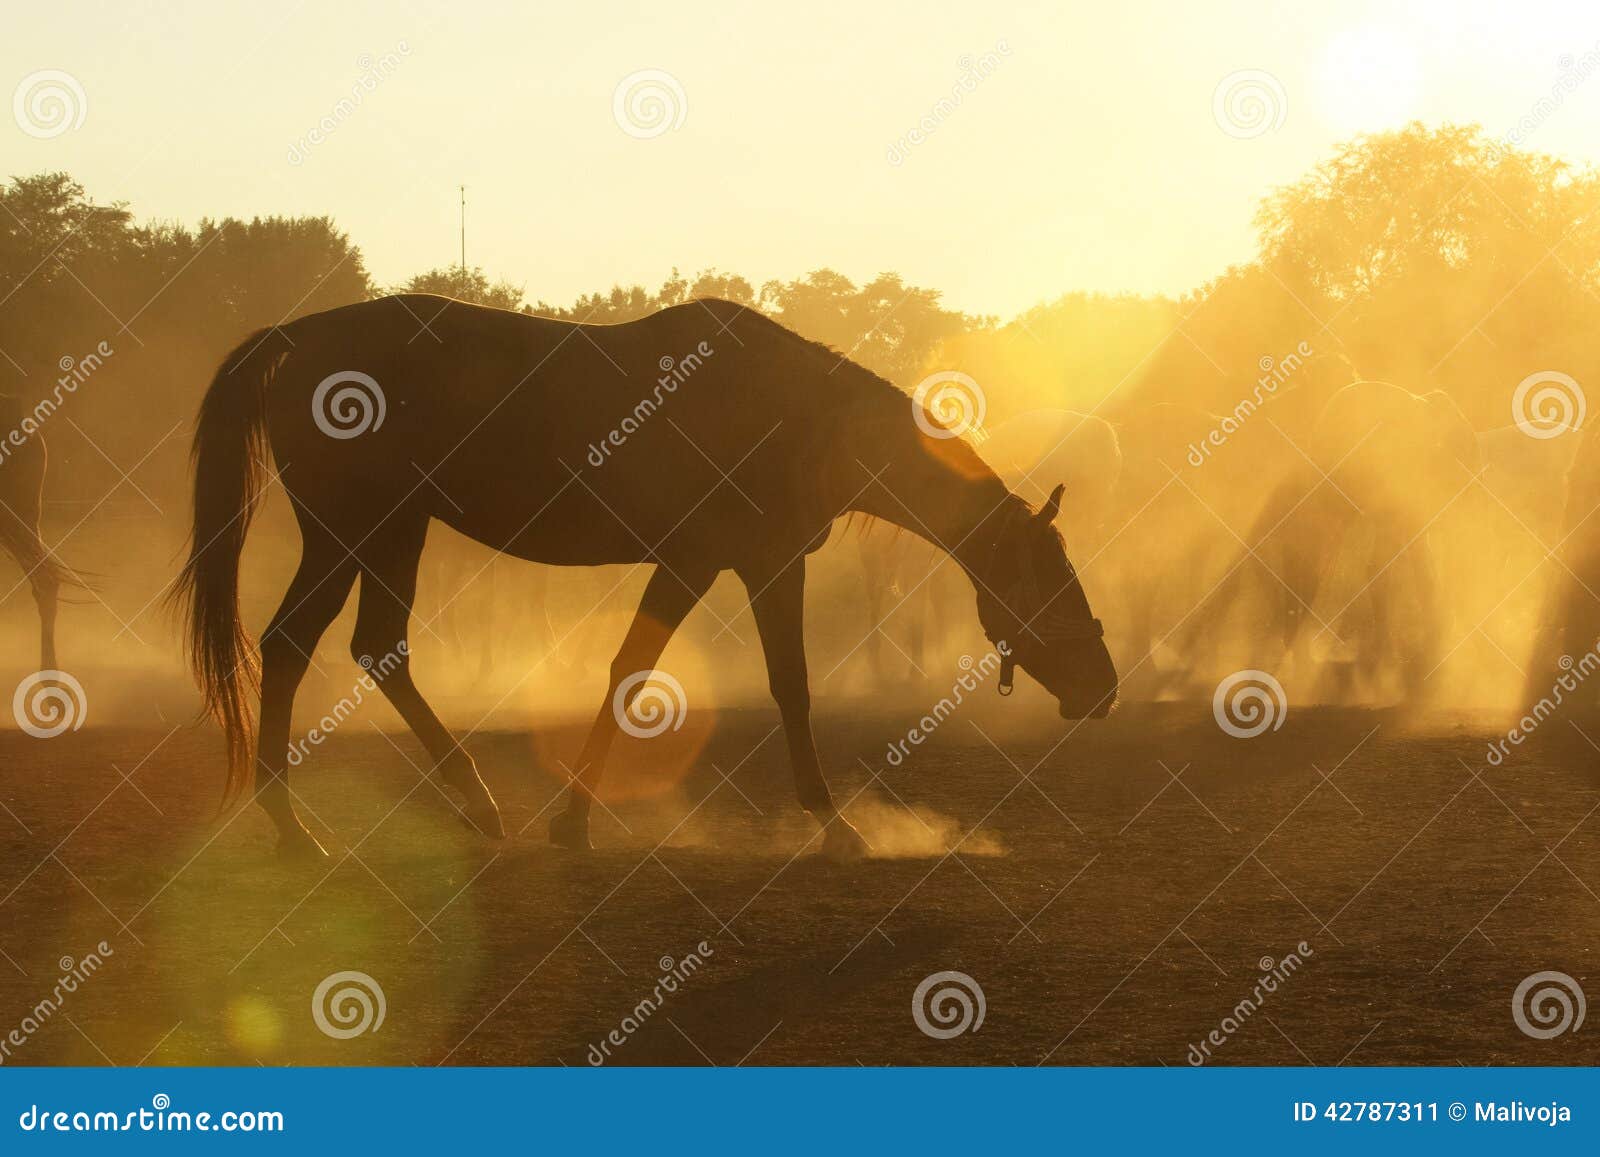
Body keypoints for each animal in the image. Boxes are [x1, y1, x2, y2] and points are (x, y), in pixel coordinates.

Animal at [173, 295, 1118, 860]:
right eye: (1050, 579)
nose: (1103, 687)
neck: (794, 413)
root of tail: (300, 338)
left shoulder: (734, 565)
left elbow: (707, 675)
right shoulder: (722, 562)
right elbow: (731, 679)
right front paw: (834, 823)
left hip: (392, 532)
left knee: (360, 648)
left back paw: (423, 811)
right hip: (356, 531)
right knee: (308, 645)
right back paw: (323, 823)